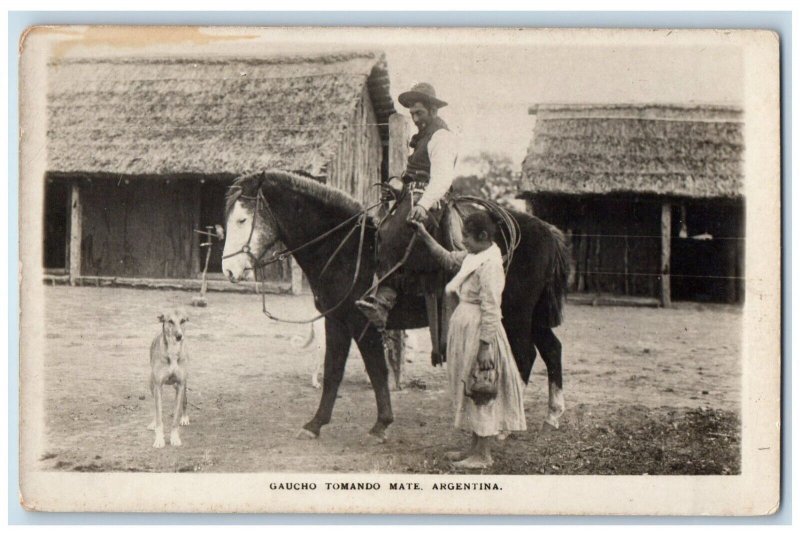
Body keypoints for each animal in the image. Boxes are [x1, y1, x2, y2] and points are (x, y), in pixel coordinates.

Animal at [219, 171, 568, 440]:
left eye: (242, 219)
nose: (229, 271)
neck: (346, 248)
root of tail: (546, 230)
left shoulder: (362, 322)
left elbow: (376, 370)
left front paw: (381, 424)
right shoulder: (336, 320)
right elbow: (333, 371)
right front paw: (315, 424)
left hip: (517, 315)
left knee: (525, 355)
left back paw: (506, 424)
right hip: (532, 317)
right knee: (552, 349)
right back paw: (552, 415)